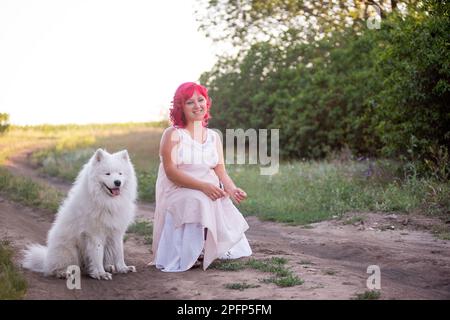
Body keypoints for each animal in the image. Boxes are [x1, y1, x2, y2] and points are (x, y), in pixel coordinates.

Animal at [22, 149, 137, 278]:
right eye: (107, 174)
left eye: (120, 173)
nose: (117, 182)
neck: (107, 202)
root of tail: (46, 259)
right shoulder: (94, 234)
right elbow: (97, 254)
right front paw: (101, 273)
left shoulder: (117, 232)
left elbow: (119, 252)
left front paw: (123, 268)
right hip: (69, 251)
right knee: (55, 269)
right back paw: (64, 272)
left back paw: (107, 267)